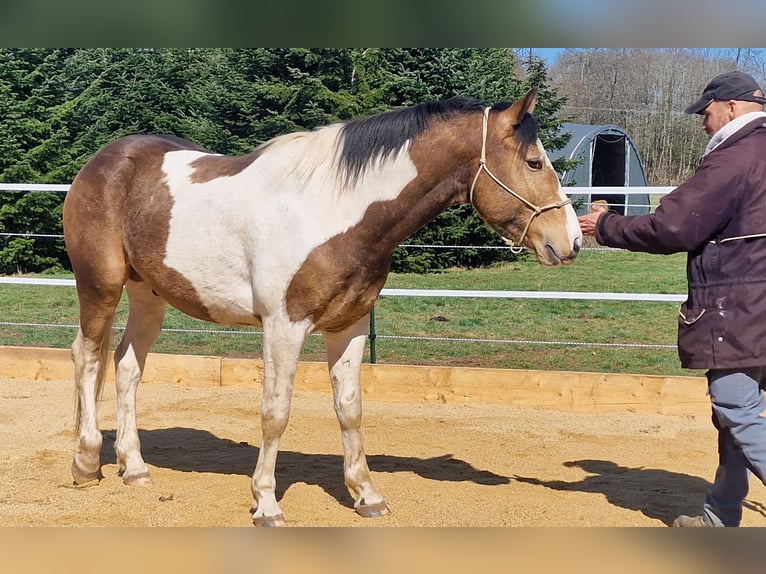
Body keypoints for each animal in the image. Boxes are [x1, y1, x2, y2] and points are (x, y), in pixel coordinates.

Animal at [62, 88, 582, 526]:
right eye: (534, 162)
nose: (571, 242)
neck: (334, 211)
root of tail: (102, 161)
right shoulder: (283, 327)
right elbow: (275, 412)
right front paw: (266, 504)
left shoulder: (349, 327)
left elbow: (350, 409)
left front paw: (366, 495)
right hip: (100, 286)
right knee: (86, 358)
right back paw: (86, 462)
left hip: (149, 296)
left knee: (126, 367)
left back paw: (134, 467)